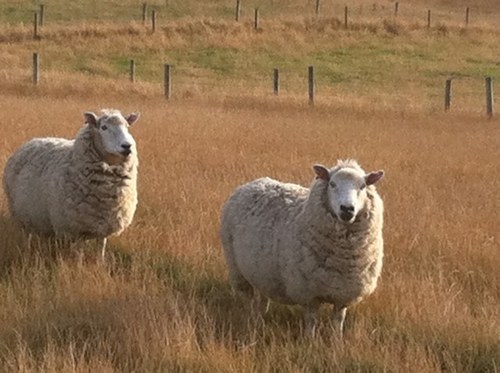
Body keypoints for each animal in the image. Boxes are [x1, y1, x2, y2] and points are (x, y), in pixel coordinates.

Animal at [3, 109, 141, 258]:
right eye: (104, 127)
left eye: (127, 126)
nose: (127, 146)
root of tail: (32, 141)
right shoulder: (76, 227)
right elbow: (79, 253)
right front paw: (79, 263)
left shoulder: (105, 224)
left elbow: (101, 249)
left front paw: (100, 262)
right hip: (20, 214)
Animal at [220, 158, 386, 336]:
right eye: (332, 184)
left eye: (362, 186)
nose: (347, 209)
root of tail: (252, 183)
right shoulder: (308, 294)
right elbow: (311, 321)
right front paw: (310, 340)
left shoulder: (343, 294)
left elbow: (338, 321)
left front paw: (337, 340)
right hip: (237, 269)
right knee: (248, 299)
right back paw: (252, 320)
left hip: (261, 272)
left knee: (262, 297)